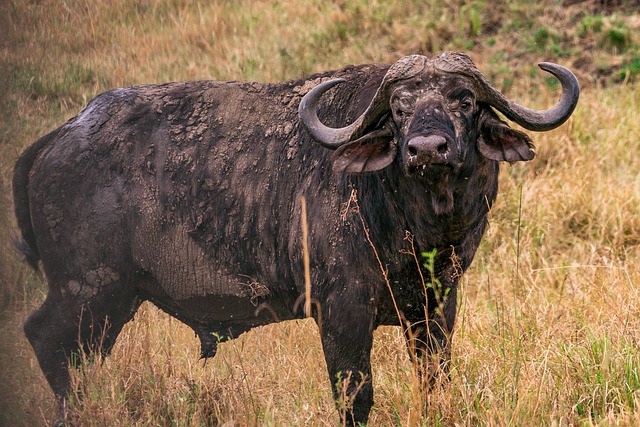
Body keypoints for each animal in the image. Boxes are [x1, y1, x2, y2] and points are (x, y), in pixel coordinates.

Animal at [12, 51, 576, 424]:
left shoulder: (438, 308)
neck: (417, 228)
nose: (426, 148)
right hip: (89, 289)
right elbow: (354, 397)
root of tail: (59, 136)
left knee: (81, 358)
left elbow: (434, 382)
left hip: (115, 304)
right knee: (46, 339)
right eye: (398, 109)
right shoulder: (342, 311)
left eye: (464, 101)